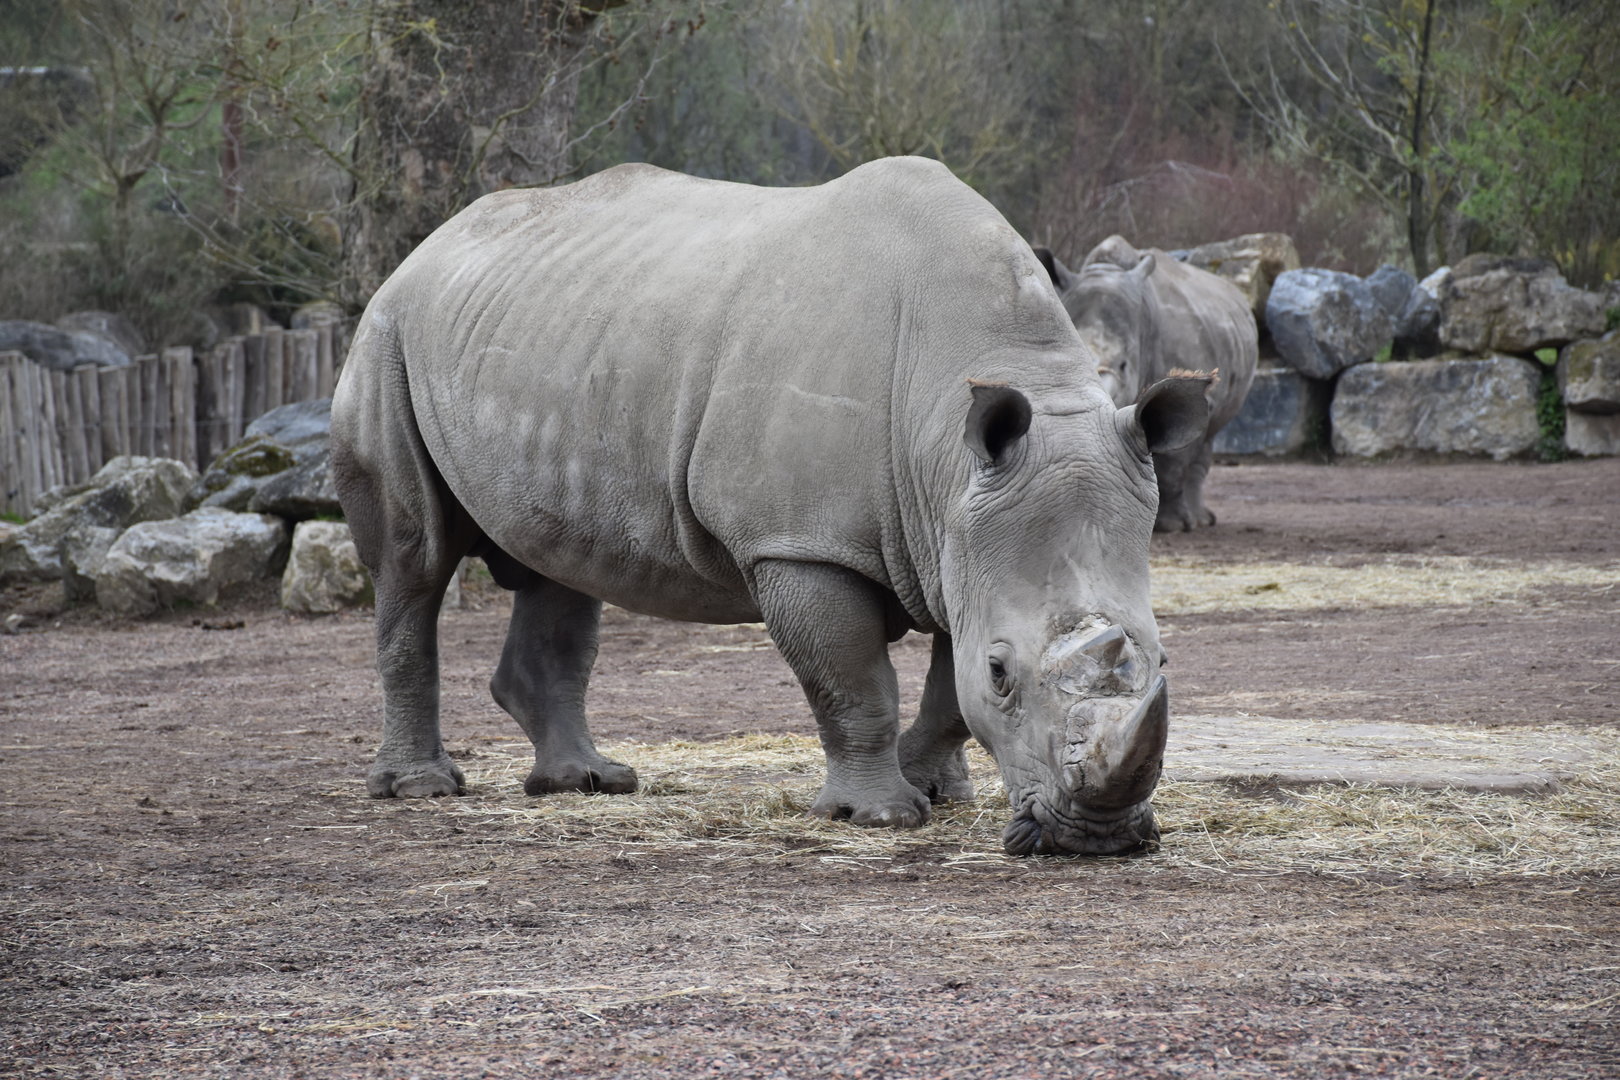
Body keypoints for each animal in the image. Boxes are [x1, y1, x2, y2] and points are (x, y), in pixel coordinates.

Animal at [331, 158, 1211, 856]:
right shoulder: (800, 542)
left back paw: (591, 783)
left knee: (557, 563)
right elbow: (854, 682)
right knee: (414, 561)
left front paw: (933, 788)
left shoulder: (962, 534)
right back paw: (423, 788)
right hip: (386, 336)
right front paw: (881, 816)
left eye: (1162, 659)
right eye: (1003, 672)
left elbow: (942, 691)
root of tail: (429, 247)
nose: (1094, 839)